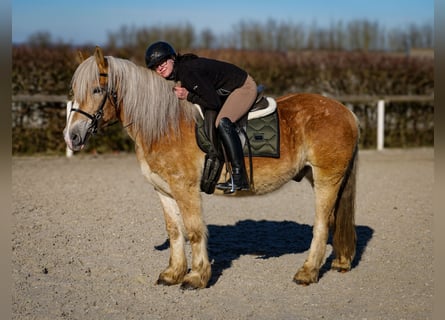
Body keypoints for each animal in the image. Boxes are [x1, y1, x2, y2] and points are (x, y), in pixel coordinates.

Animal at [62, 47, 360, 290]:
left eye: (97, 90)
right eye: (74, 91)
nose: (72, 137)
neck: (165, 125)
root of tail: (346, 111)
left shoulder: (186, 188)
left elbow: (194, 230)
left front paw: (196, 277)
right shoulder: (164, 190)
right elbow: (174, 231)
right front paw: (173, 273)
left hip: (327, 177)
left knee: (321, 224)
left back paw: (307, 272)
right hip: (320, 177)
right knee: (334, 220)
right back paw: (340, 262)